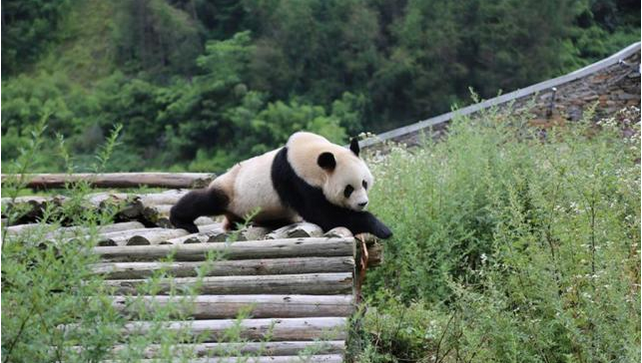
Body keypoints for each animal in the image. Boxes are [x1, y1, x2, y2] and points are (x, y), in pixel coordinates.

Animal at [169, 132, 390, 240]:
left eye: (364, 183)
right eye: (348, 189)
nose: (362, 203)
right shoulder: (296, 180)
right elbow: (324, 215)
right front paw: (382, 228)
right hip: (231, 191)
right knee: (204, 201)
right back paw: (182, 220)